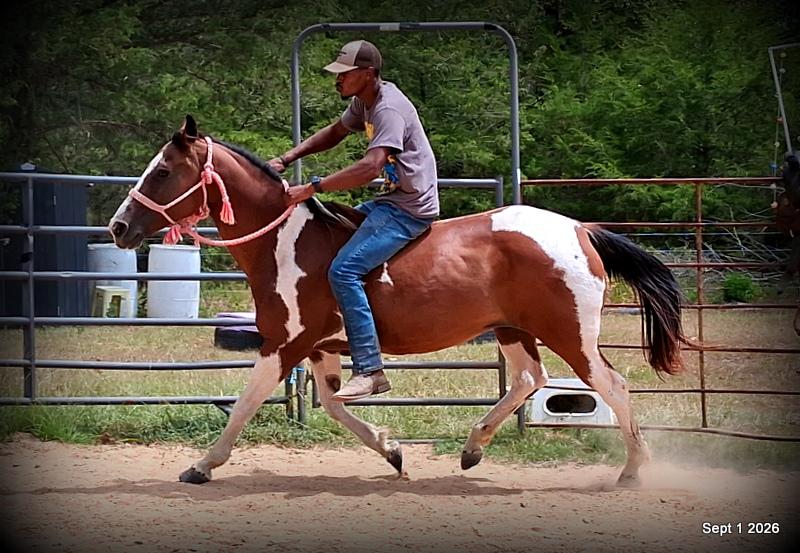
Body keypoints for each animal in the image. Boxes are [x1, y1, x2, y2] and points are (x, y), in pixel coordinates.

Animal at [109, 115, 690, 487]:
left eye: (163, 172)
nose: (118, 227)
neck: (286, 241)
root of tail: (580, 230)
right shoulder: (320, 348)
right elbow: (336, 406)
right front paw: (392, 452)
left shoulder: (284, 344)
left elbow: (246, 405)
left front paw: (202, 465)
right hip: (513, 330)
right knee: (530, 378)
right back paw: (472, 448)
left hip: (570, 332)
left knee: (611, 385)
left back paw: (632, 470)